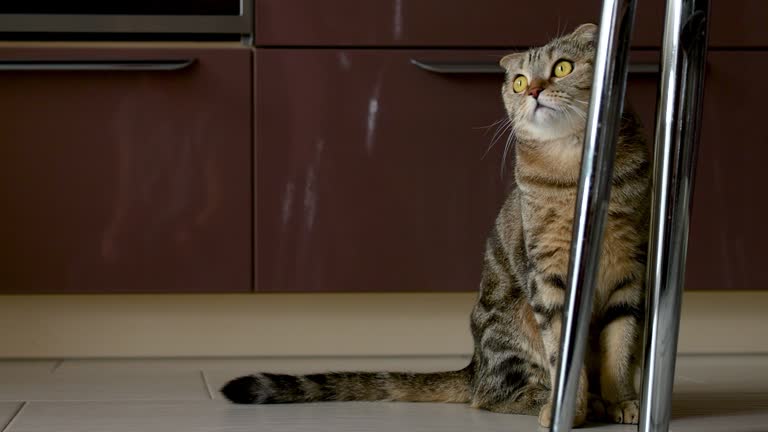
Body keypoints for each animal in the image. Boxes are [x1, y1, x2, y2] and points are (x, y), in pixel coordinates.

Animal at [220, 24, 648, 428]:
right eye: (519, 81)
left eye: (562, 68)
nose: (533, 91)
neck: (573, 170)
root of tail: (472, 366)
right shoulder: (547, 275)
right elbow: (562, 347)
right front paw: (569, 409)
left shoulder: (631, 269)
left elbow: (620, 346)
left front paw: (623, 401)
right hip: (510, 322)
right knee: (492, 394)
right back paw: (548, 400)